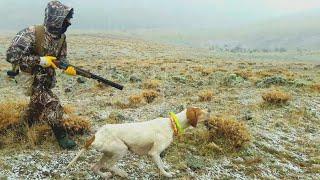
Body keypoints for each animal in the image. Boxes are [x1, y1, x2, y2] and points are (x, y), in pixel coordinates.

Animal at [67, 107, 208, 179]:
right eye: (201, 112)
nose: (210, 111)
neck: (171, 123)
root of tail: (96, 136)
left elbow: (162, 163)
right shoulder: (154, 153)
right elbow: (161, 166)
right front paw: (167, 174)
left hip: (108, 153)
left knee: (95, 167)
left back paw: (105, 175)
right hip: (121, 149)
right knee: (109, 165)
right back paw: (122, 173)